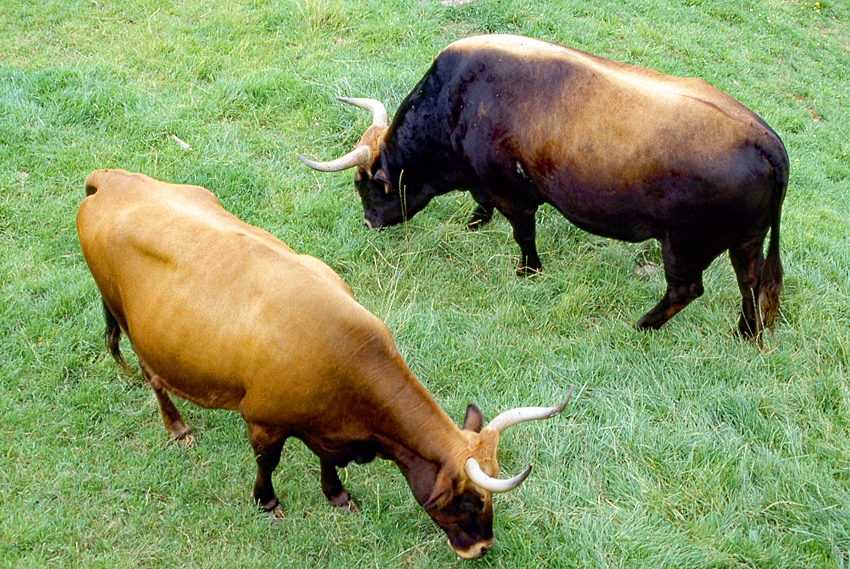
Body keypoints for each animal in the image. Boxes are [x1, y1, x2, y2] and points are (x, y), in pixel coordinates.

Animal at [76, 169, 573, 560]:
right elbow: (268, 464)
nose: (482, 548)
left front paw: (337, 495)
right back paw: (178, 428)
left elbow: (327, 461)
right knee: (152, 377)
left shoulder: (327, 428)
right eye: (471, 501)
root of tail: (111, 181)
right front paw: (268, 503)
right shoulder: (263, 421)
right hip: (125, 319)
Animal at [298, 34, 788, 338]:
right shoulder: (484, 182)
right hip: (746, 240)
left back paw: (644, 325)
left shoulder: (513, 194)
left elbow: (523, 234)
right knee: (750, 281)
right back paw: (745, 331)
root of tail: (762, 137)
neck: (459, 102)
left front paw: (528, 271)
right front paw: (476, 222)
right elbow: (481, 203)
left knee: (686, 289)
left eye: (366, 184)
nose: (368, 223)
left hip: (683, 244)